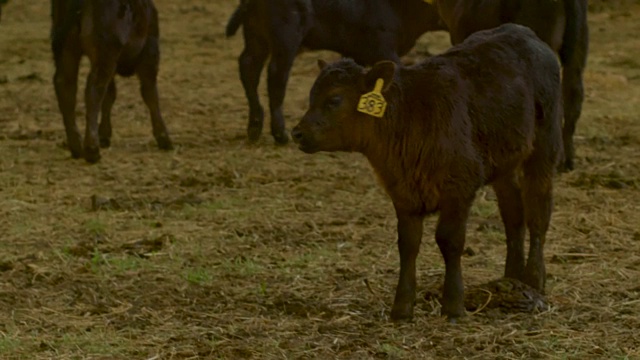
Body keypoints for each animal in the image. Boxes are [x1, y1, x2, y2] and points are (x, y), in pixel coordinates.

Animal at [51, 0, 172, 163]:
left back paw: (76, 146)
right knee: (93, 90)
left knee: (65, 85)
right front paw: (163, 137)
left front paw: (104, 134)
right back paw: (92, 149)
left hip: (66, 48)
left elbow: (110, 95)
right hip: (105, 52)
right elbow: (150, 93)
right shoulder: (150, 50)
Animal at [224, 0, 444, 146]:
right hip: (285, 38)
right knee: (276, 75)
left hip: (255, 35)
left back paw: (254, 128)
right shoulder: (385, 49)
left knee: (249, 68)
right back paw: (280, 134)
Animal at [292, 23, 564, 322]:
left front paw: (453, 305)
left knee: (538, 210)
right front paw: (402, 307)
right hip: (504, 163)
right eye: (311, 97)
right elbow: (408, 244)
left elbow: (449, 240)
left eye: (335, 99)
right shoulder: (403, 192)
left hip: (545, 146)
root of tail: (522, 31)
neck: (410, 116)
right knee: (513, 214)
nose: (297, 133)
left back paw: (534, 278)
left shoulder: (460, 186)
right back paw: (511, 277)